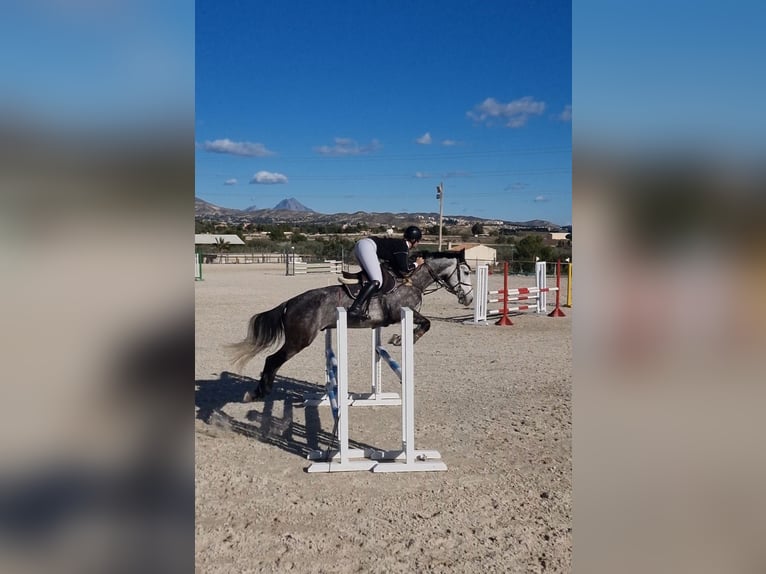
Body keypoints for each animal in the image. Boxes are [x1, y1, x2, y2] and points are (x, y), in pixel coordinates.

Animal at [230, 252, 474, 400]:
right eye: (466, 272)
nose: (469, 299)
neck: (412, 281)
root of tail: (290, 303)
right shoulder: (401, 312)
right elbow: (427, 323)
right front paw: (401, 339)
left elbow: (425, 323)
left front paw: (399, 339)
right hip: (299, 341)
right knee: (272, 360)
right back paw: (259, 393)